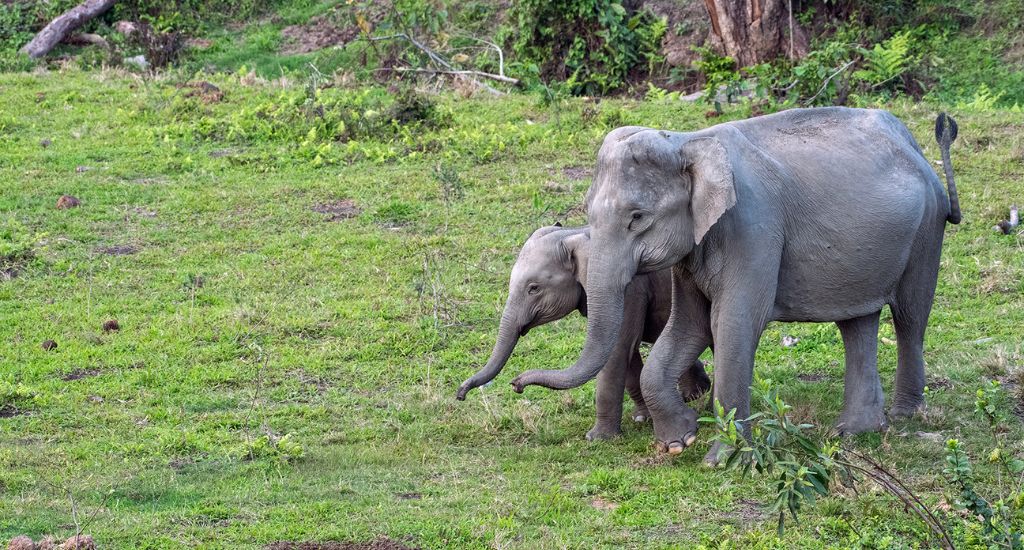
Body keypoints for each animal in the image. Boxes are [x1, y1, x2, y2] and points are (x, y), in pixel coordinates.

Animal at [458, 221, 712, 440]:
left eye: (534, 288)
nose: (515, 385)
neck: (578, 233)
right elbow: (626, 352)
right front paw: (642, 419)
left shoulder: (629, 290)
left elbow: (618, 349)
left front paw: (598, 438)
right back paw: (695, 394)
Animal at [512, 106, 958, 458]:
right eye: (587, 210)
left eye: (637, 217)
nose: (516, 384)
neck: (687, 141)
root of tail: (913, 143)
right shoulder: (691, 254)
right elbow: (689, 326)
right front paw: (680, 440)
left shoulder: (754, 229)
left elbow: (733, 324)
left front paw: (721, 458)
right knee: (857, 323)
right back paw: (853, 432)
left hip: (927, 231)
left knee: (910, 317)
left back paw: (903, 415)